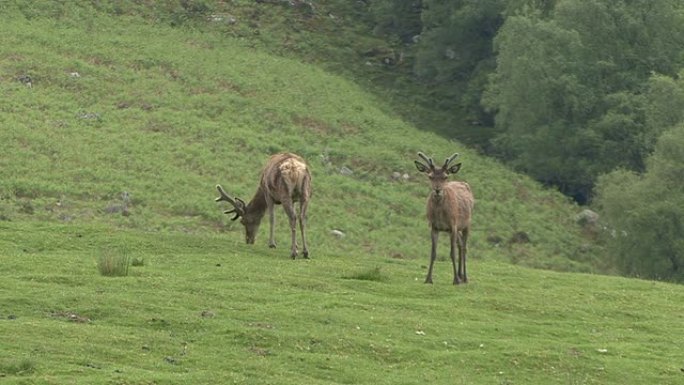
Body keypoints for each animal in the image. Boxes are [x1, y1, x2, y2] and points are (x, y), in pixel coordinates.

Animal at [414, 152, 472, 284]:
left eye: (445, 177)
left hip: (467, 223)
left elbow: (452, 253)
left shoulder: (453, 225)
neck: (440, 215)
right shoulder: (434, 226)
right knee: (460, 244)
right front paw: (428, 279)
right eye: (430, 176)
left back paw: (465, 278)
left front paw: (455, 280)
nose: (437, 190)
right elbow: (433, 253)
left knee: (464, 247)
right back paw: (461, 275)